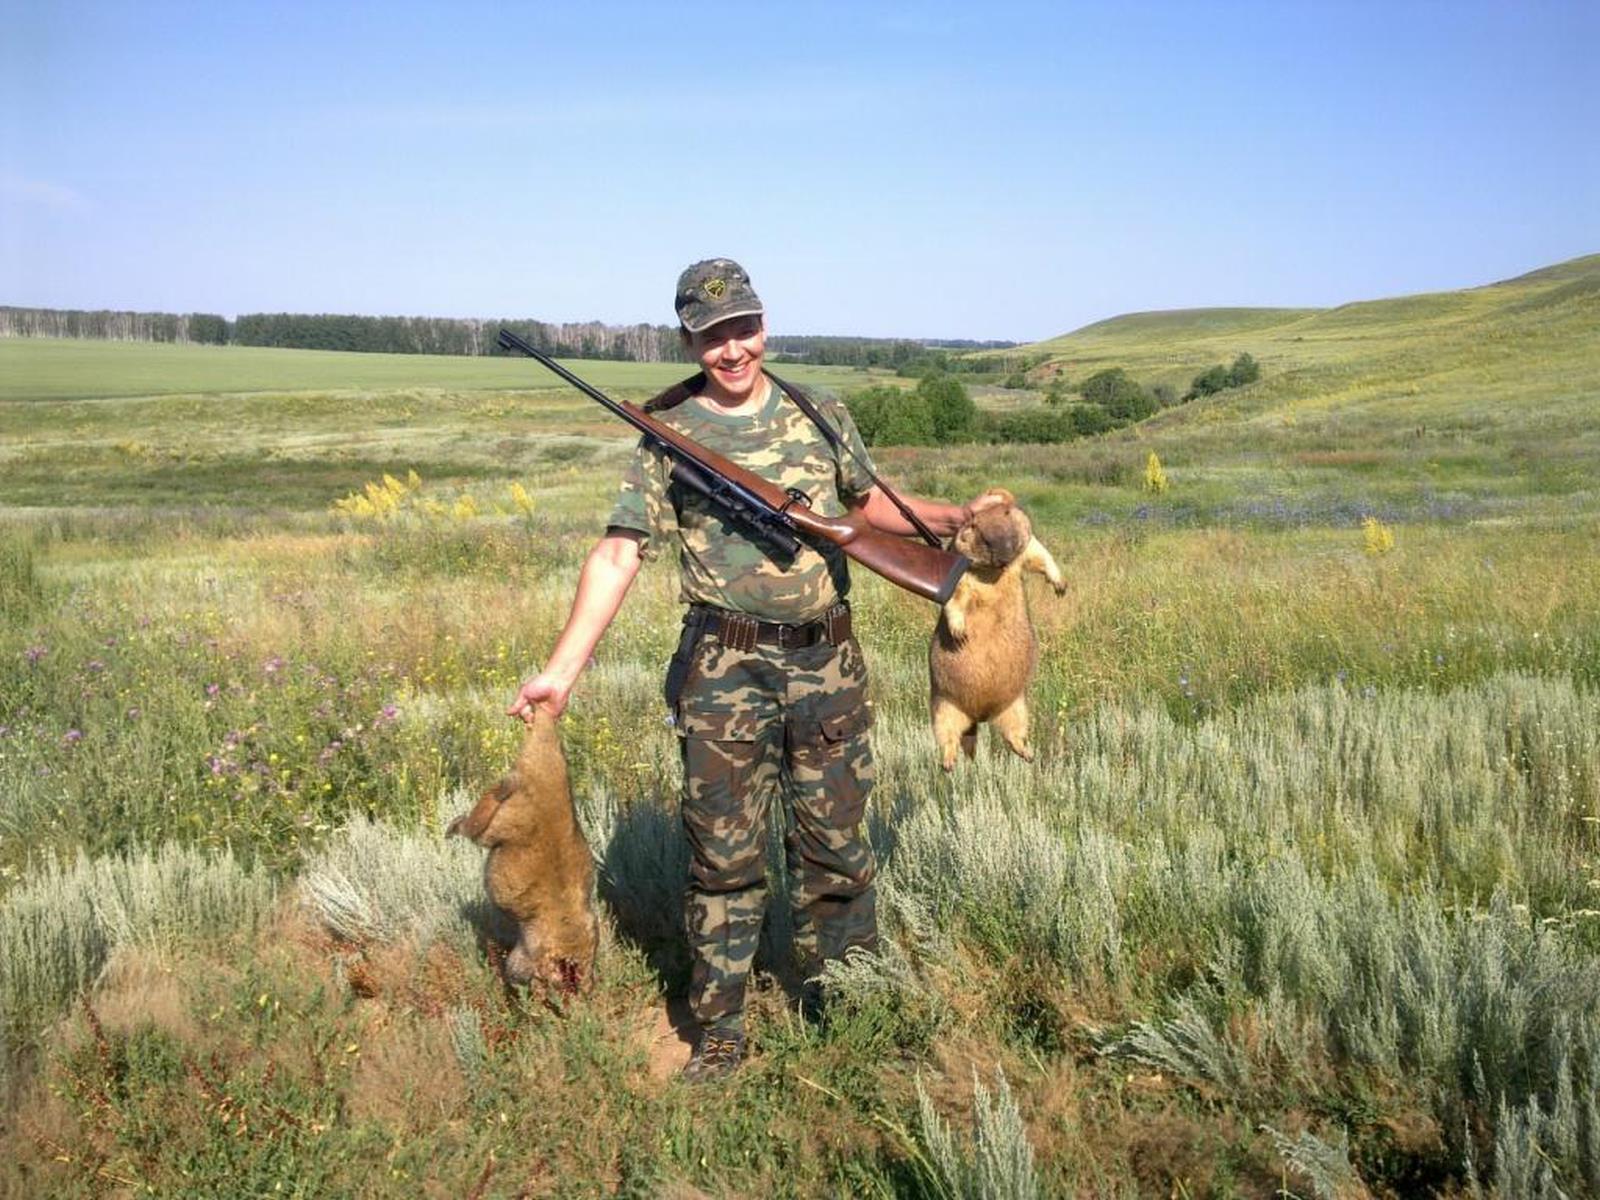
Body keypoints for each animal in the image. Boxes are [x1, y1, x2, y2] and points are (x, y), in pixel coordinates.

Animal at [929, 488, 1066, 770]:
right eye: (984, 538)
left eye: (1010, 536)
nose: (1004, 558)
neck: (991, 571)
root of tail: (979, 715)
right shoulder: (958, 567)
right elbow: (954, 596)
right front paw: (959, 632)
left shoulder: (1027, 545)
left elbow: (1040, 554)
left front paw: (1060, 585)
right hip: (941, 707)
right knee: (947, 736)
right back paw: (948, 762)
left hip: (1018, 707)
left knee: (1013, 735)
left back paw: (1028, 753)